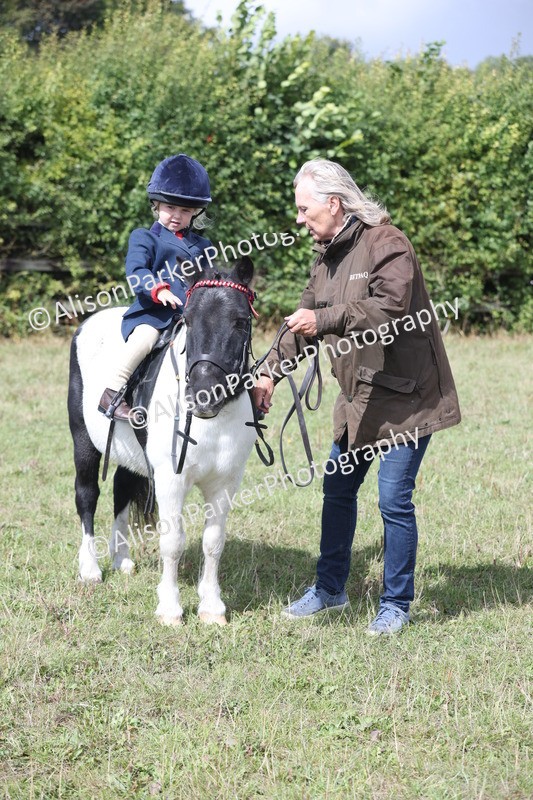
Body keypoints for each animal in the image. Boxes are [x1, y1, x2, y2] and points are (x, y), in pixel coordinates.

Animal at [67, 257, 259, 626]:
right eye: (188, 320)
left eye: (241, 321)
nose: (204, 394)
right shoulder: (171, 480)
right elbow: (173, 542)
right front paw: (170, 609)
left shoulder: (225, 482)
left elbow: (214, 541)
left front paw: (212, 608)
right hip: (83, 441)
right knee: (87, 495)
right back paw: (90, 569)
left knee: (121, 488)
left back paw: (122, 559)